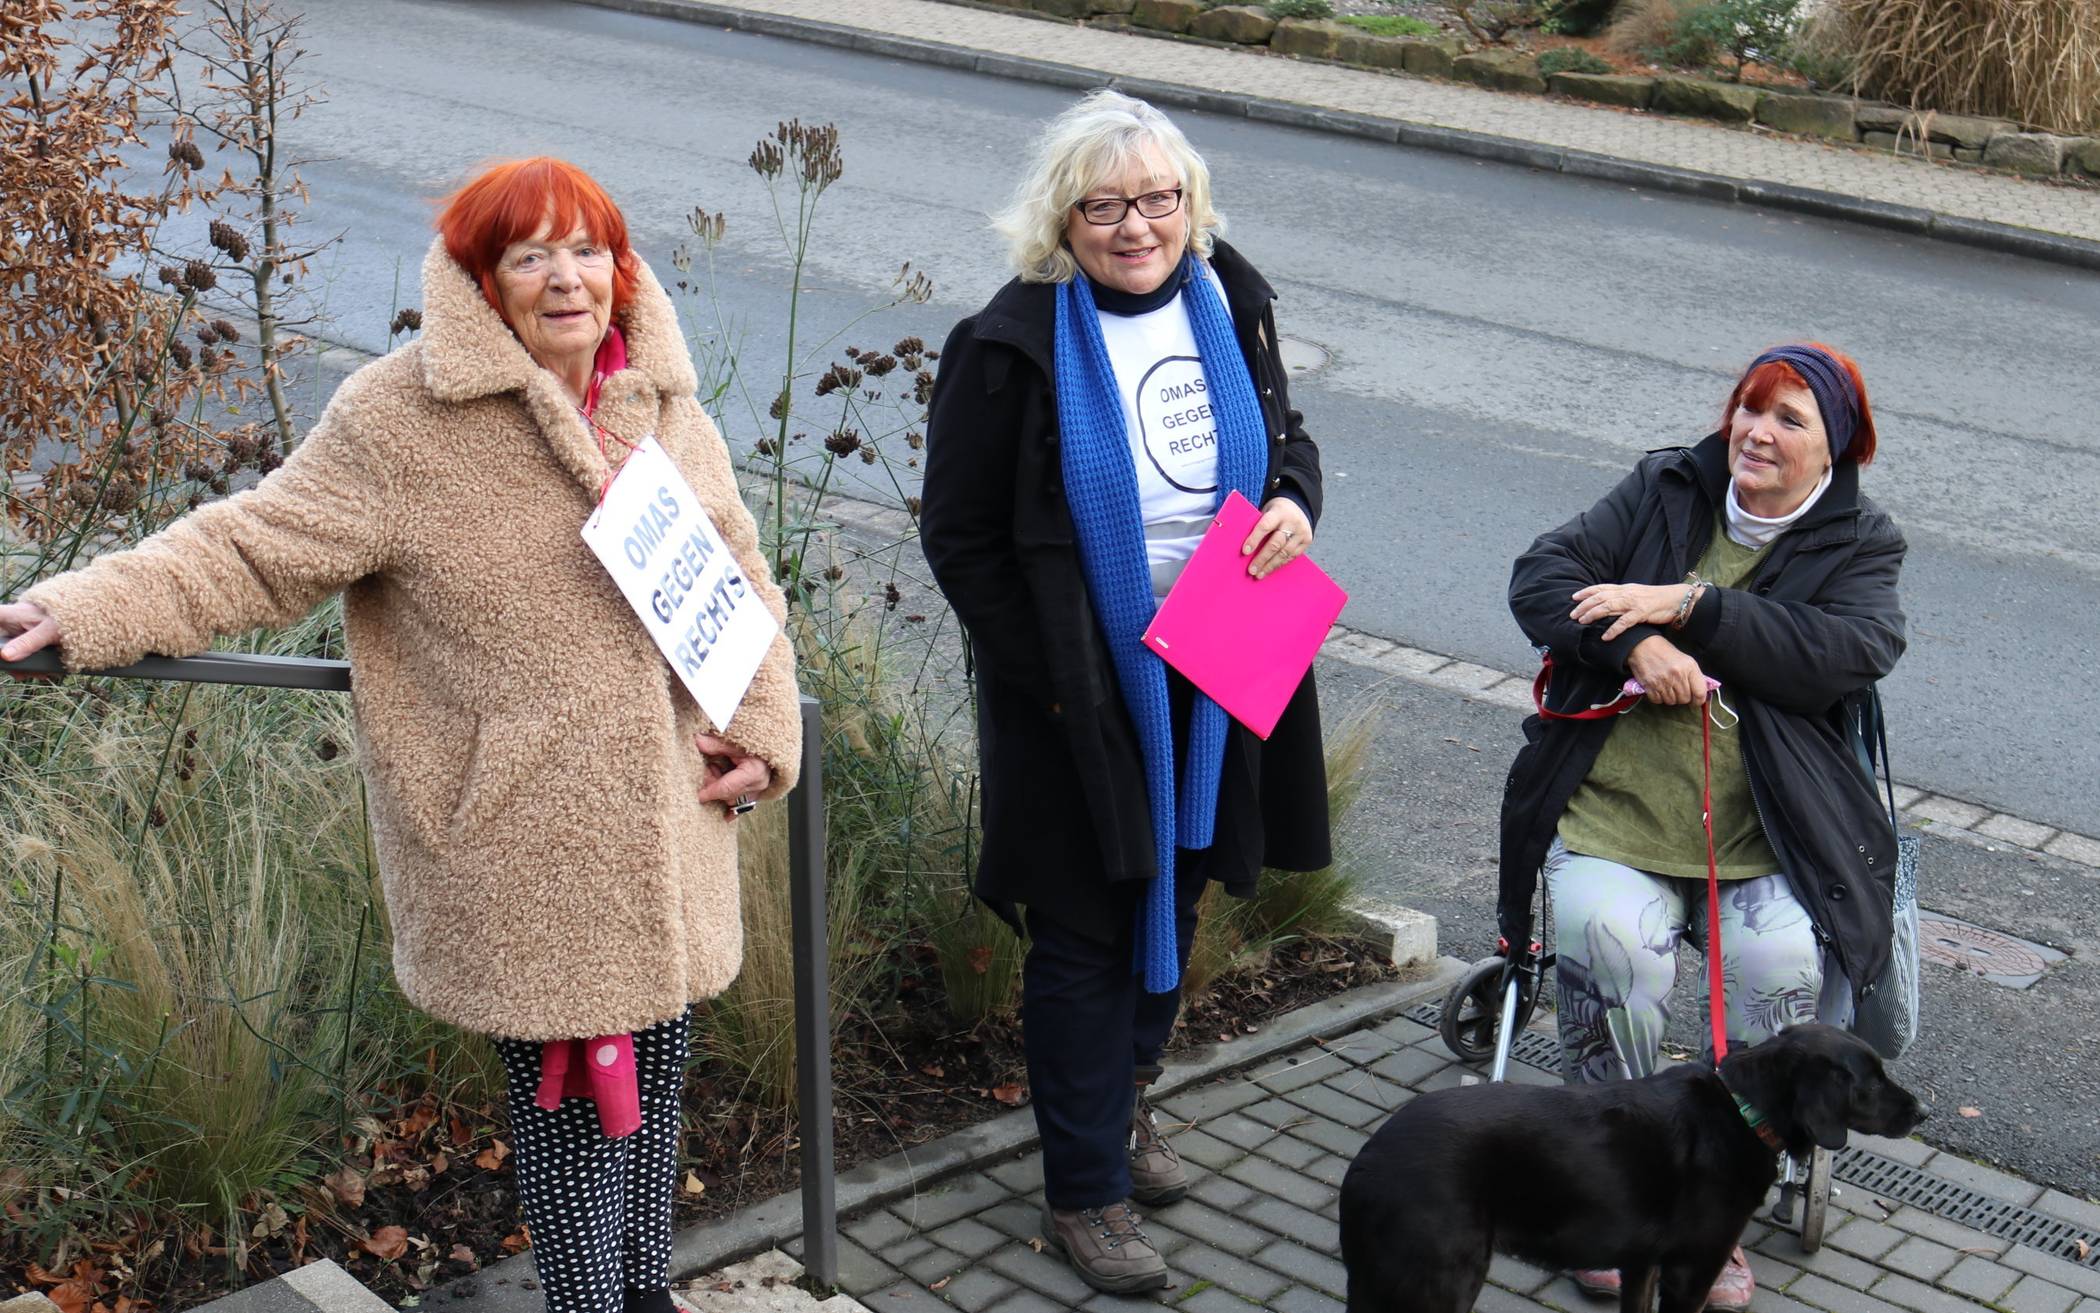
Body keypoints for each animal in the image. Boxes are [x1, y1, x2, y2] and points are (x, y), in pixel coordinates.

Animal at [1335, 1025, 1923, 1310]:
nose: (1923, 1113)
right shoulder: (1691, 1272)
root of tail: (1367, 1159)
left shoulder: (1642, 1266)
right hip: (1442, 1282)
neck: (1742, 1109)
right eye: (1870, 1082)